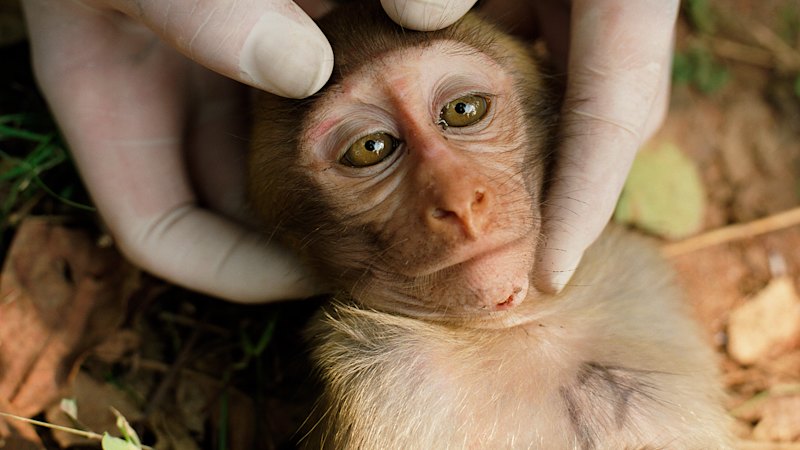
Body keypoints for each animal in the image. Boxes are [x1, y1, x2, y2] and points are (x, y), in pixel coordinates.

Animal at [247, 2, 733, 449]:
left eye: (464, 109)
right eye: (371, 148)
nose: (460, 200)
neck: (523, 326)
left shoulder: (637, 282)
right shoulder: (383, 380)